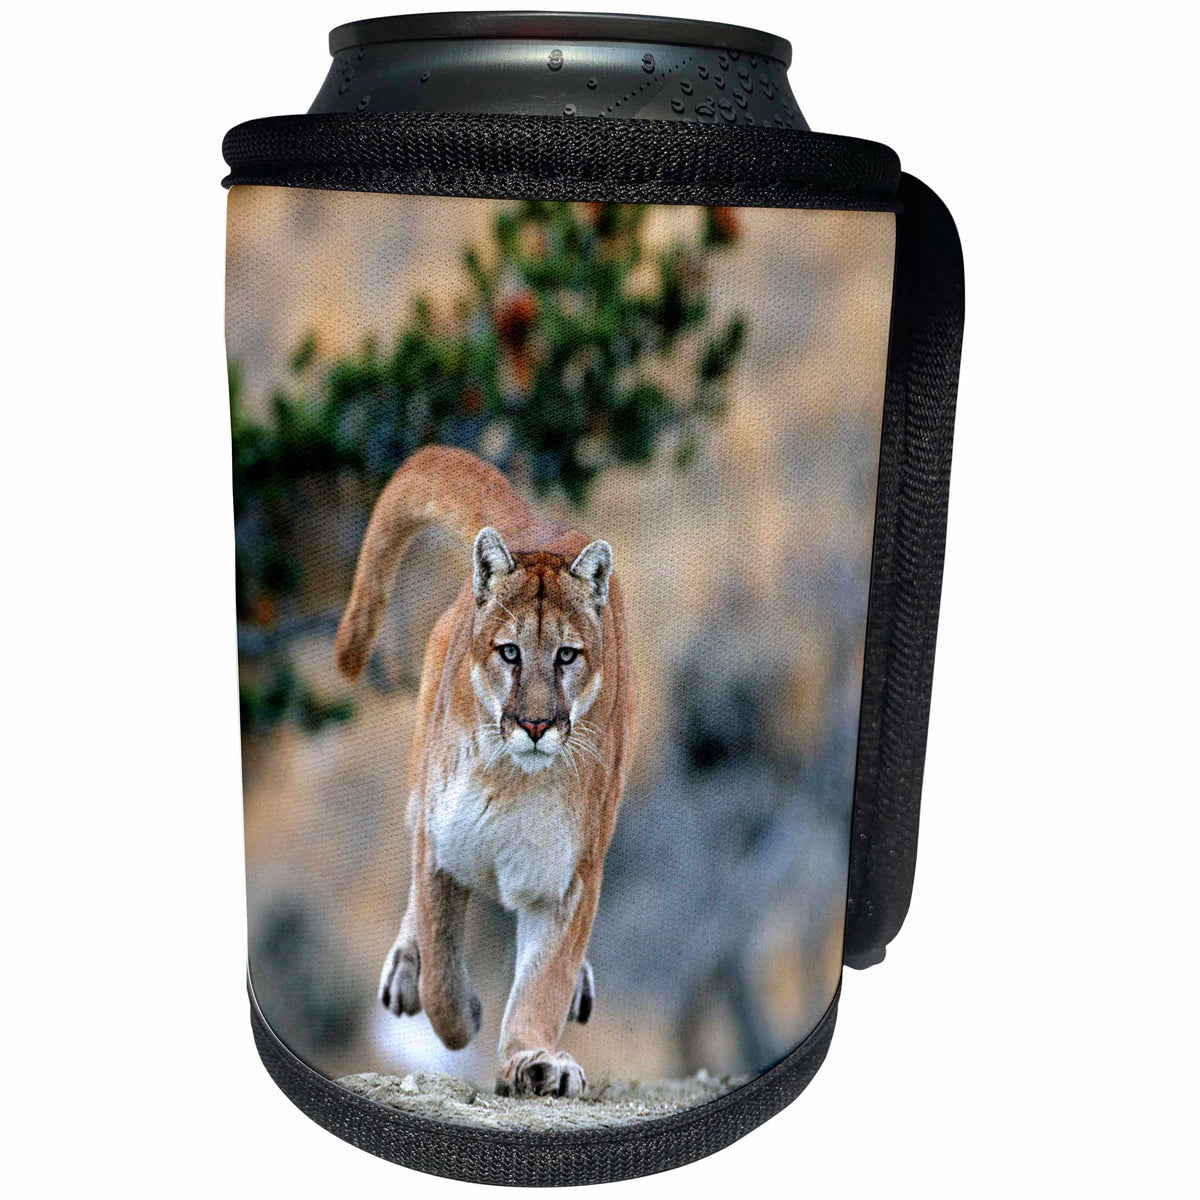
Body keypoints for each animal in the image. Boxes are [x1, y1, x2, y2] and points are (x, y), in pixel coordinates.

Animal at [335, 446, 635, 1097]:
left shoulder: (570, 879)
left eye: (566, 655)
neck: (515, 781)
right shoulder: (440, 851)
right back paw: (404, 969)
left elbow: (542, 980)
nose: (536, 724)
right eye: (510, 652)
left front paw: (535, 1060)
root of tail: (536, 524)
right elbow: (442, 976)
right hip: (418, 784)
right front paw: (462, 1012)